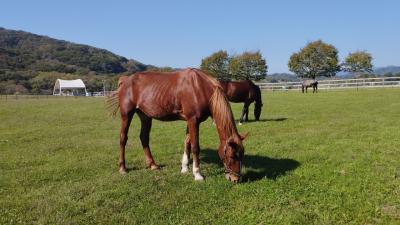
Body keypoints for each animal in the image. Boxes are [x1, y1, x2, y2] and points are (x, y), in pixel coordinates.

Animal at [108, 68, 248, 183]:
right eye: (232, 156)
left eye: (242, 155)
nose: (236, 179)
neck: (200, 88)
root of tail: (126, 80)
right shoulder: (193, 120)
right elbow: (195, 147)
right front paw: (197, 174)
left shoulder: (190, 121)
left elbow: (187, 143)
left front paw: (185, 167)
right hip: (127, 114)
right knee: (123, 138)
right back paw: (123, 168)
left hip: (145, 116)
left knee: (144, 138)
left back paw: (153, 165)